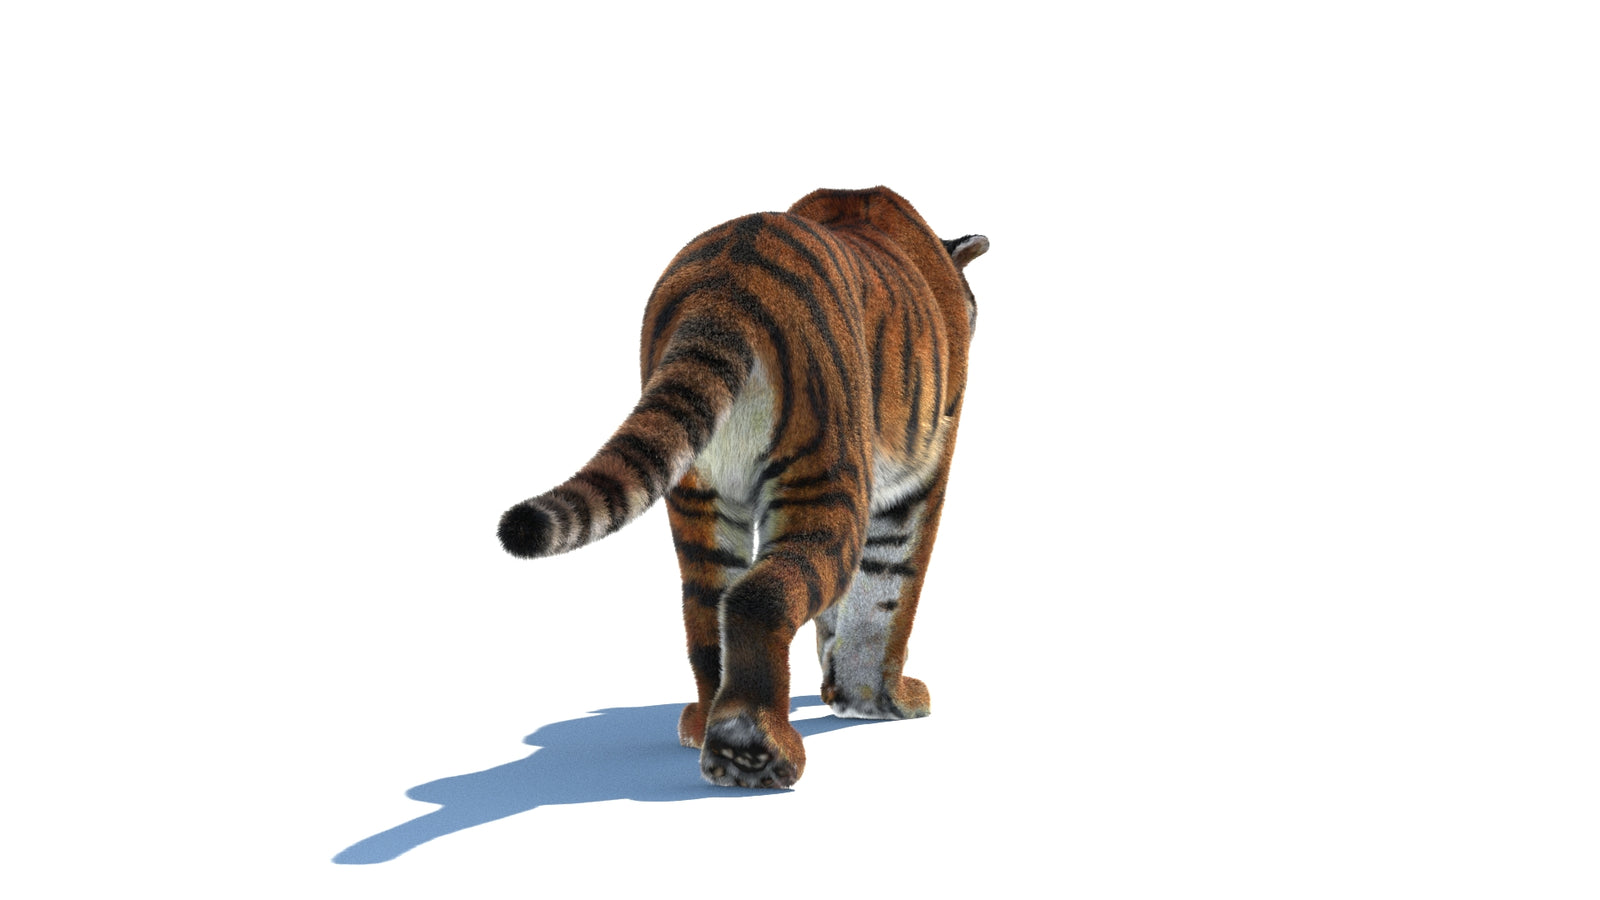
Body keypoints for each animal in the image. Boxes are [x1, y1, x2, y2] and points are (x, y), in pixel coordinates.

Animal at [498, 186, 988, 788]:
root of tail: (732, 274)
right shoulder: (917, 482)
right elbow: (886, 597)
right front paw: (878, 700)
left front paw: (835, 689)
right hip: (827, 473)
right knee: (762, 594)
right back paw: (753, 749)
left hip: (697, 492)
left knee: (708, 608)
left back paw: (704, 723)